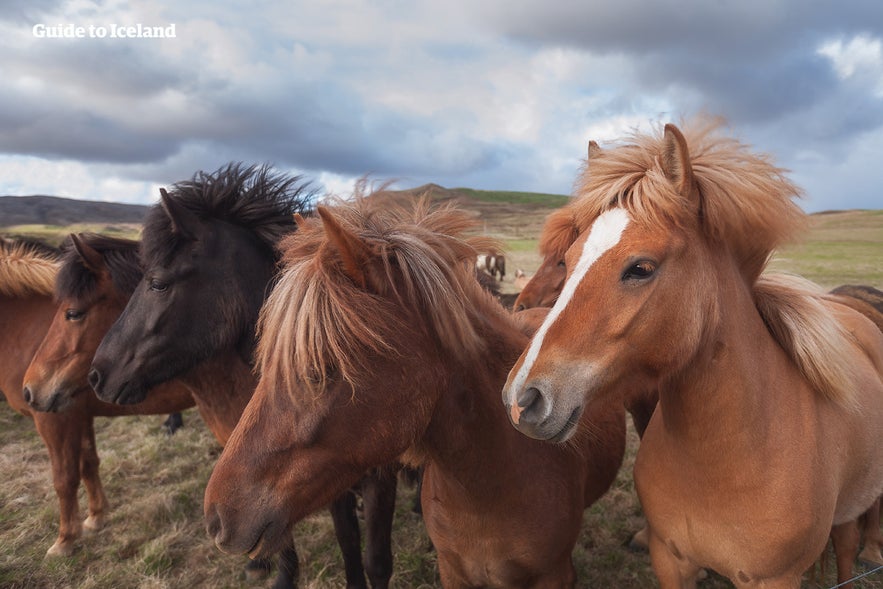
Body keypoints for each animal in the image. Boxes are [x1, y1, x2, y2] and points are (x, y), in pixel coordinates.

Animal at [0, 235, 194, 556]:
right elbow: (89, 463)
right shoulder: (79, 414)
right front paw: (95, 517)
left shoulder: (54, 420)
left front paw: (65, 539)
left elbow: (64, 478)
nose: (31, 390)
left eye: (73, 314)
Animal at [86, 164, 398, 588]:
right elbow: (348, 544)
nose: (98, 374)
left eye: (159, 283)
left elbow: (376, 561)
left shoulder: (382, 478)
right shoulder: (329, 479)